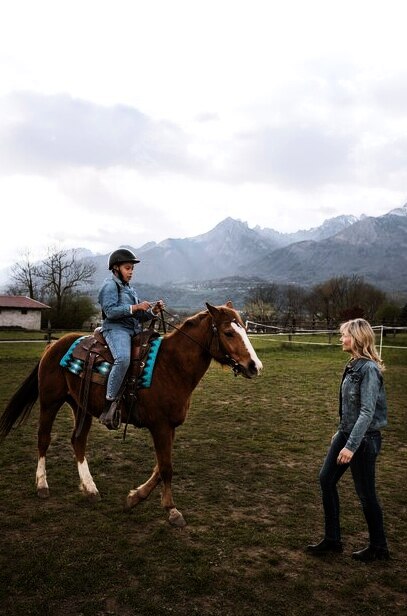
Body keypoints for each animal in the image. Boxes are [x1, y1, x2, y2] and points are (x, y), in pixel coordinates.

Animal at [0, 300, 262, 528]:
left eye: (245, 329)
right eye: (228, 333)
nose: (255, 366)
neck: (172, 365)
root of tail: (53, 345)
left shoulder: (170, 427)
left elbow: (161, 466)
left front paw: (134, 497)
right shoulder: (160, 426)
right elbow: (166, 467)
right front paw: (172, 510)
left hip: (81, 406)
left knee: (78, 440)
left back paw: (90, 488)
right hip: (50, 402)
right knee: (43, 439)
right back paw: (42, 485)